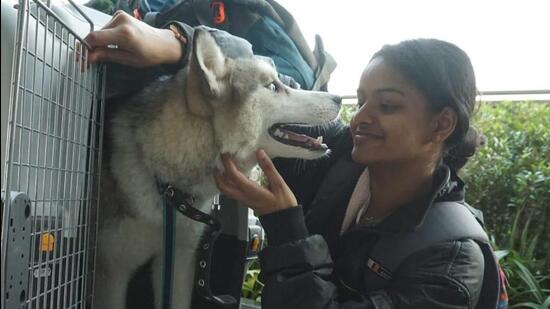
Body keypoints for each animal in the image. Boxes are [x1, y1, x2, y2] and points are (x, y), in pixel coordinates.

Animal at [94, 27, 340, 308]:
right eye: (272, 86)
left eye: (281, 81)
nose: (339, 99)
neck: (168, 188)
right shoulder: (112, 271)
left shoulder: (180, 261)